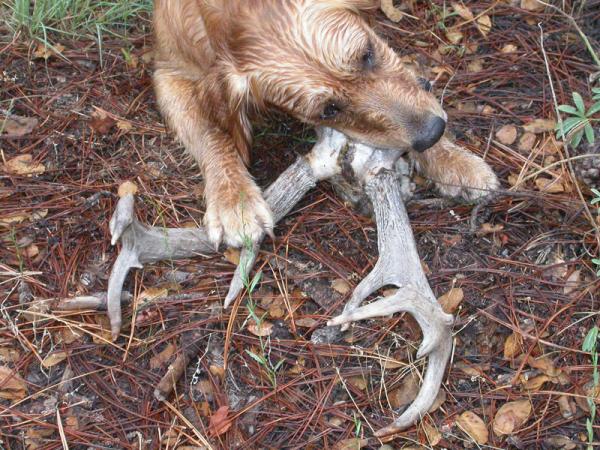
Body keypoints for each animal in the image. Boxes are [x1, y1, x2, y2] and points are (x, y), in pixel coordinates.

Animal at [153, 0, 498, 247]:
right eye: (329, 110)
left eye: (367, 53)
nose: (432, 133)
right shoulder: (169, 72)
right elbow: (212, 131)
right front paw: (233, 199)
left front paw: (454, 160)